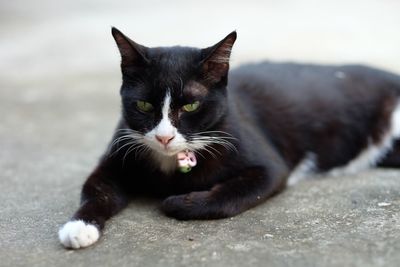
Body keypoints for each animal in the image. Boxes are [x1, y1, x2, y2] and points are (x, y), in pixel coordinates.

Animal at [57, 26, 400, 249]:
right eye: (143, 105)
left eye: (191, 105)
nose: (165, 137)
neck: (170, 162)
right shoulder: (119, 153)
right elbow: (96, 189)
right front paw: (79, 226)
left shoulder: (266, 163)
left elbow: (230, 195)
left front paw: (178, 201)